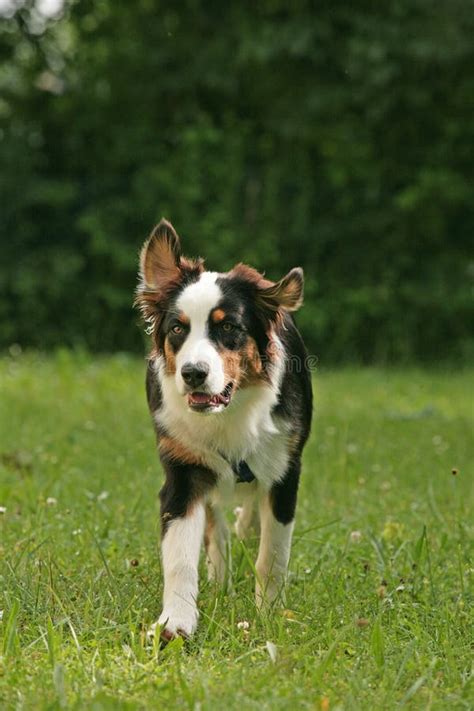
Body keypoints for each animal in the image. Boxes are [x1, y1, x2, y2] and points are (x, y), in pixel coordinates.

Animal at [135, 220, 312, 644]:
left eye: (228, 326)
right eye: (177, 328)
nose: (193, 373)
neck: (229, 412)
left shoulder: (286, 471)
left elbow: (273, 553)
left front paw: (269, 613)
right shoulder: (183, 471)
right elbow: (181, 556)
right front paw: (175, 623)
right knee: (216, 524)